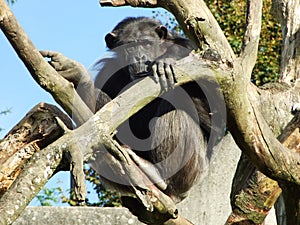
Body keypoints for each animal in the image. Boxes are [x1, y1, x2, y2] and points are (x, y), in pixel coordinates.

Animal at [40, 16, 223, 204]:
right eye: (129, 47)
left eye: (147, 43)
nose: (139, 57)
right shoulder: (107, 71)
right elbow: (95, 123)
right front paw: (77, 73)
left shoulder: (199, 57)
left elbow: (216, 115)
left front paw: (169, 59)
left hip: (193, 171)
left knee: (176, 104)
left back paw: (160, 175)